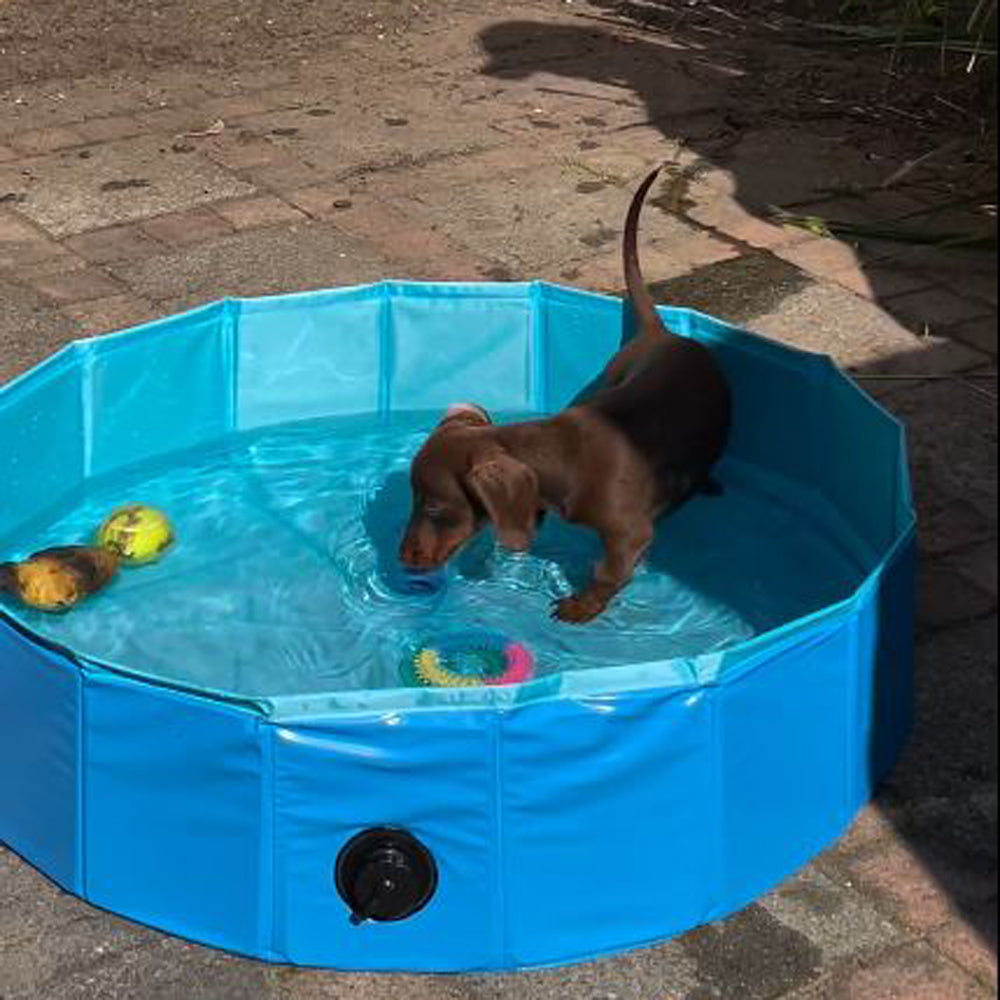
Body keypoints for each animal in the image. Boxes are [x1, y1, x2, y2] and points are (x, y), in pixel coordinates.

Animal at [398, 167, 736, 620]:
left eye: (435, 508)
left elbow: (609, 572)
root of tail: (661, 333)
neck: (560, 457)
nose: (402, 558)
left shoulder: (629, 532)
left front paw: (581, 608)